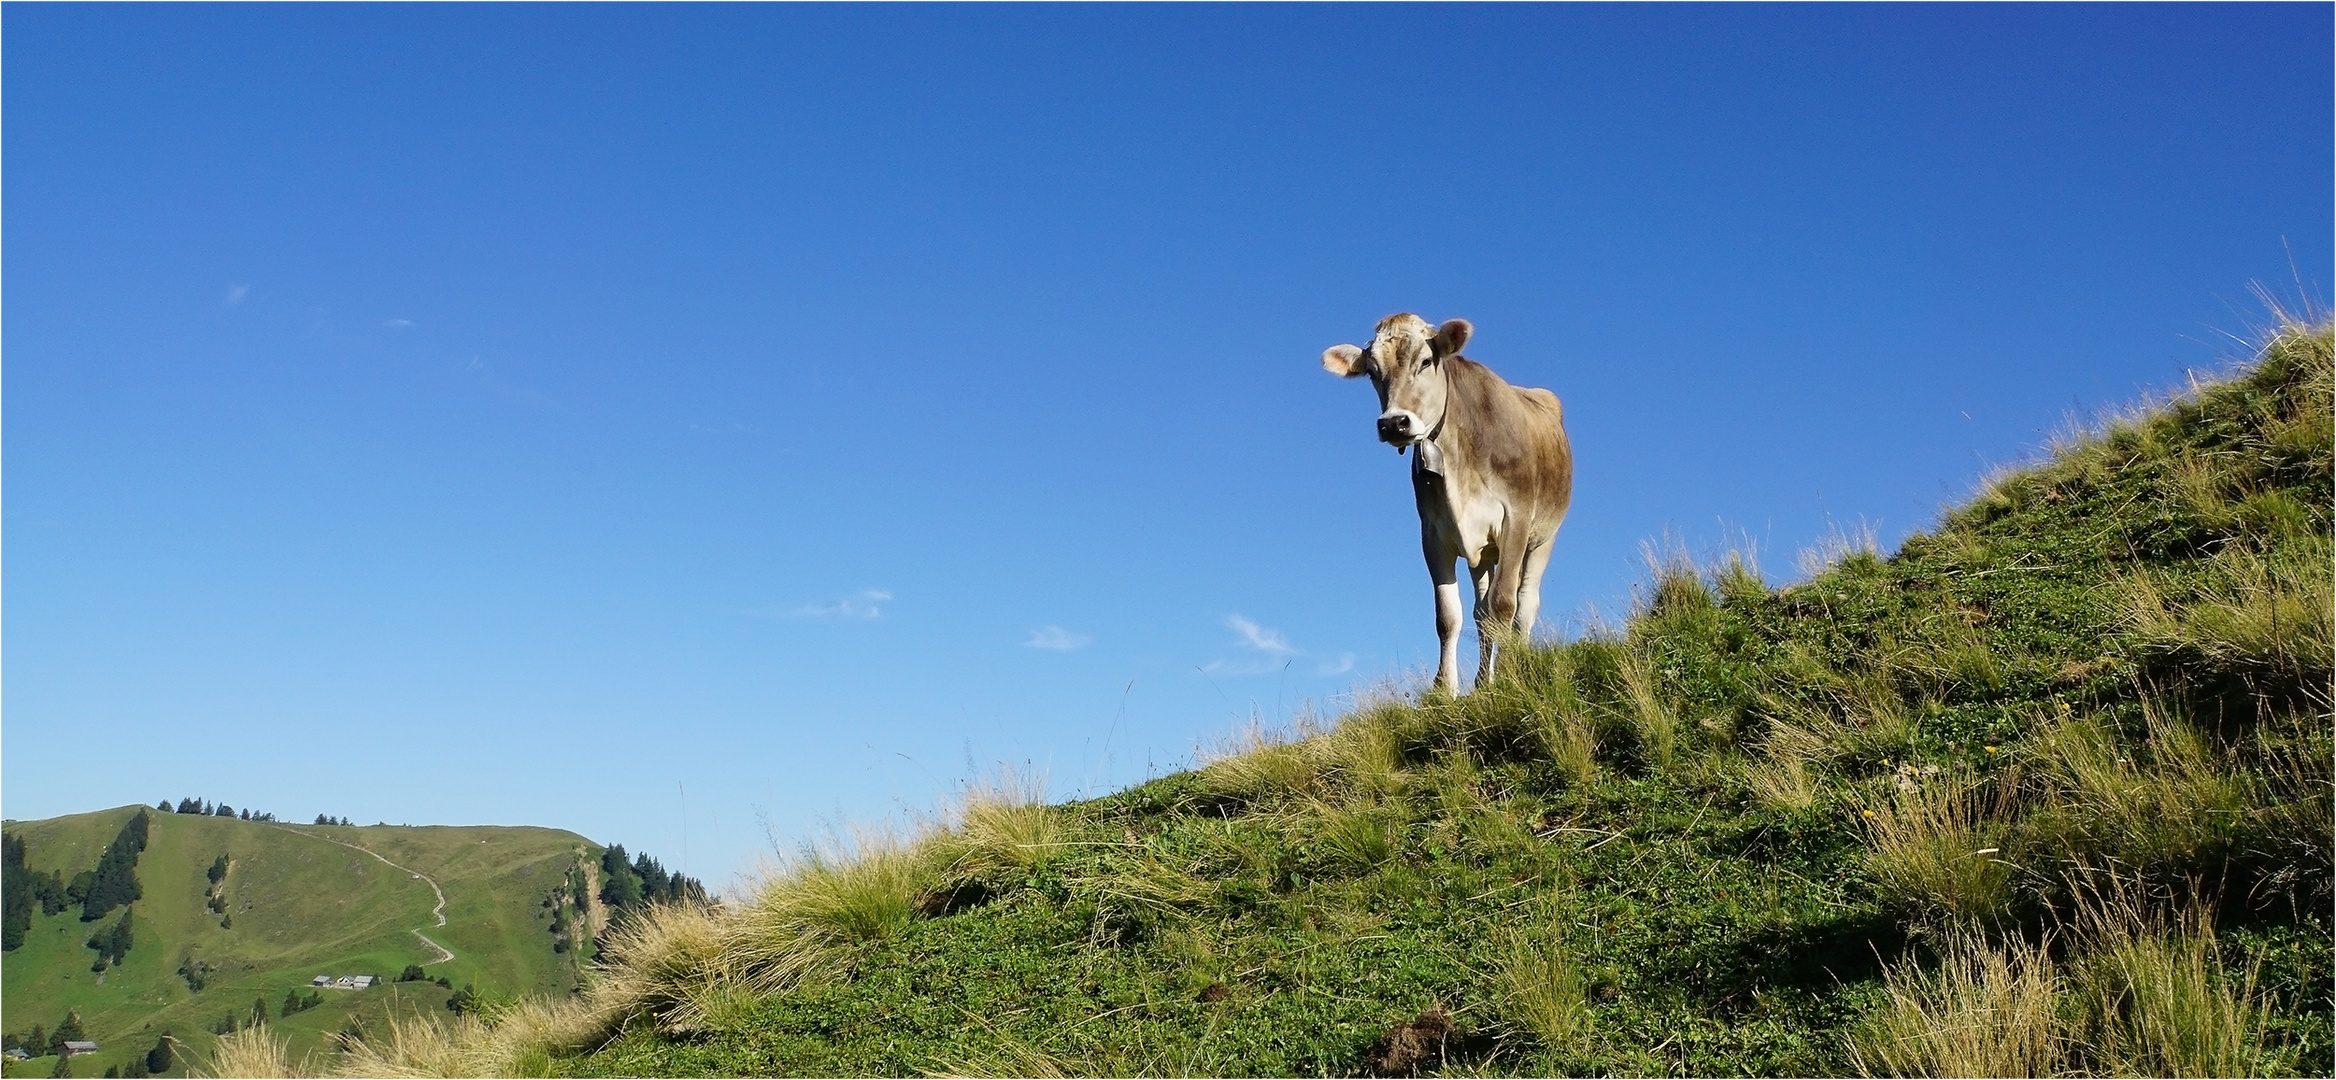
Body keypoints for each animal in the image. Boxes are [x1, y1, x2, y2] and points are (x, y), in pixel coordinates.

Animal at [1326, 315, 1579, 696]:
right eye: (1372, 372)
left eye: (1426, 361)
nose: (1394, 423)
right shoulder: (1433, 534)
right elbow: (1449, 616)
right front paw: (1444, 689)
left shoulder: (1515, 521)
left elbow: (1505, 604)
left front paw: (1508, 676)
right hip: (1484, 553)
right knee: (1481, 612)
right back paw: (1482, 681)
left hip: (1544, 537)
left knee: (1524, 604)